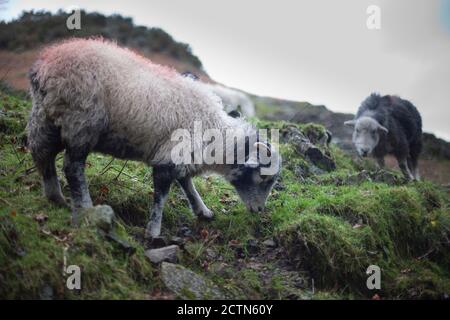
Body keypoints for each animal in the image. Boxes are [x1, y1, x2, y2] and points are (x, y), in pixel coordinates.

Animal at [26, 38, 280, 238]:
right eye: (264, 177)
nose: (259, 211)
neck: (215, 133)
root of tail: (46, 66)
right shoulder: (170, 156)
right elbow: (162, 196)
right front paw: (154, 231)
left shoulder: (183, 155)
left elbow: (187, 184)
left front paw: (203, 211)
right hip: (82, 119)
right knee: (72, 166)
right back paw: (86, 208)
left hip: (46, 117)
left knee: (41, 152)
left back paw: (55, 197)